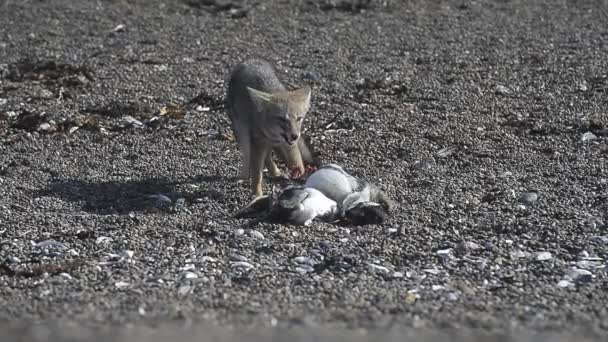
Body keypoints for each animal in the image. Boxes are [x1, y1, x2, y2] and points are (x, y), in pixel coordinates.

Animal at [226, 58, 316, 198]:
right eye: (282, 119)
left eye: (299, 118)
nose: (295, 136)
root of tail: (250, 60)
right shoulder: (258, 143)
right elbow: (257, 174)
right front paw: (257, 194)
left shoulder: (285, 143)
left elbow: (295, 156)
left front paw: (299, 169)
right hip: (242, 132)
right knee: (248, 156)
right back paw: (243, 176)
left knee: (268, 157)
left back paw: (276, 173)